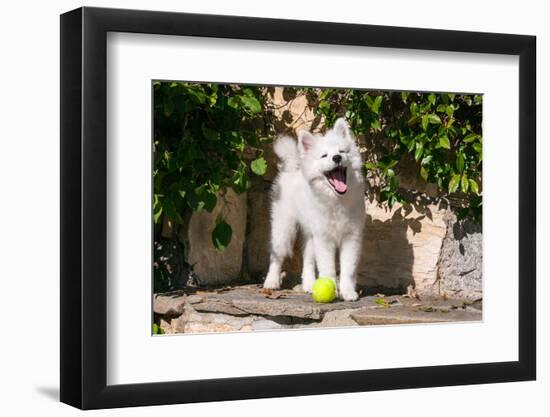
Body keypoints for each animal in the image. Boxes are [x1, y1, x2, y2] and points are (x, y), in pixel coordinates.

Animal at [266, 117, 368, 300]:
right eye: (324, 155)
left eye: (342, 151)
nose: (337, 157)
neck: (336, 199)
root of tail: (292, 167)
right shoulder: (324, 239)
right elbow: (327, 268)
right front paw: (332, 289)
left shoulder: (351, 237)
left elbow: (348, 269)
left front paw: (348, 292)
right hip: (283, 227)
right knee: (276, 255)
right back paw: (271, 281)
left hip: (310, 235)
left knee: (307, 261)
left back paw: (308, 285)